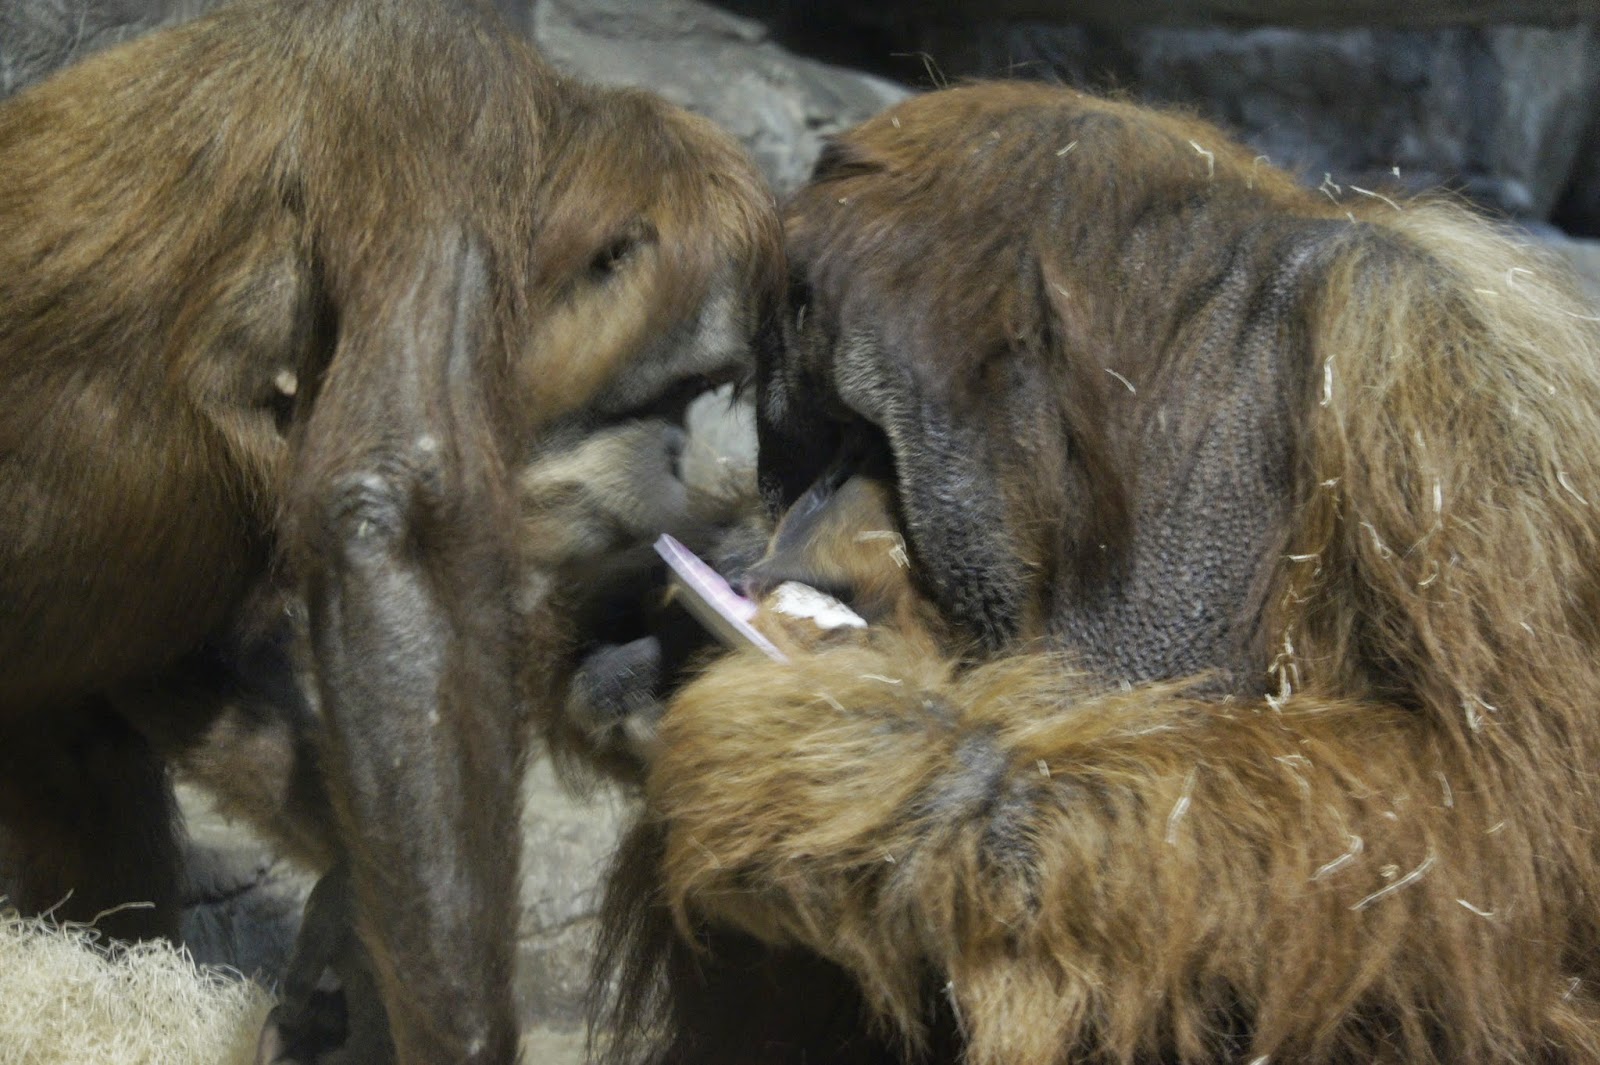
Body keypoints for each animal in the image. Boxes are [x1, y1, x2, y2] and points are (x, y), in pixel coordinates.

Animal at [0, 1, 783, 1062]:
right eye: (683, 389)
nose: (678, 453)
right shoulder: (450, 103)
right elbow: (389, 522)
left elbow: (191, 661)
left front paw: (348, 930)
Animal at [586, 81, 1600, 1064]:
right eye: (818, 435)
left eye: (866, 436)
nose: (803, 522)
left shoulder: (1437, 380)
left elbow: (1493, 827)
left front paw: (854, 772)